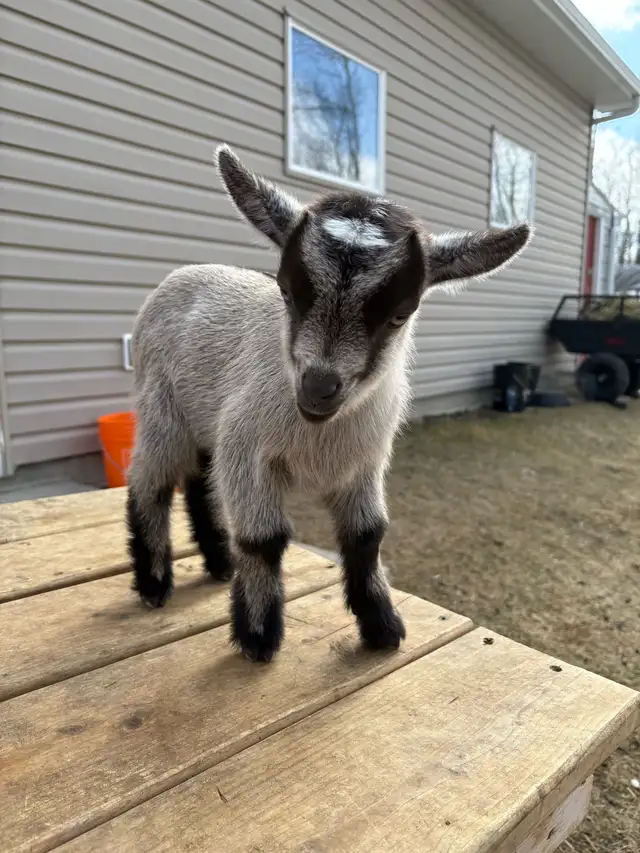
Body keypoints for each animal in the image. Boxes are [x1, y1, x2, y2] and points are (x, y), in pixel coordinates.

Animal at [126, 144, 531, 662]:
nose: (318, 388)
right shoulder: (247, 450)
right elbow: (262, 540)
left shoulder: (363, 464)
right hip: (161, 405)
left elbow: (367, 536)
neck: (318, 435)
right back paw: (154, 584)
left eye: (400, 313)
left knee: (200, 481)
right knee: (151, 481)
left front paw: (382, 628)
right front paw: (258, 638)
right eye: (285, 290)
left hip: (205, 422)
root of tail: (184, 272)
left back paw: (218, 562)